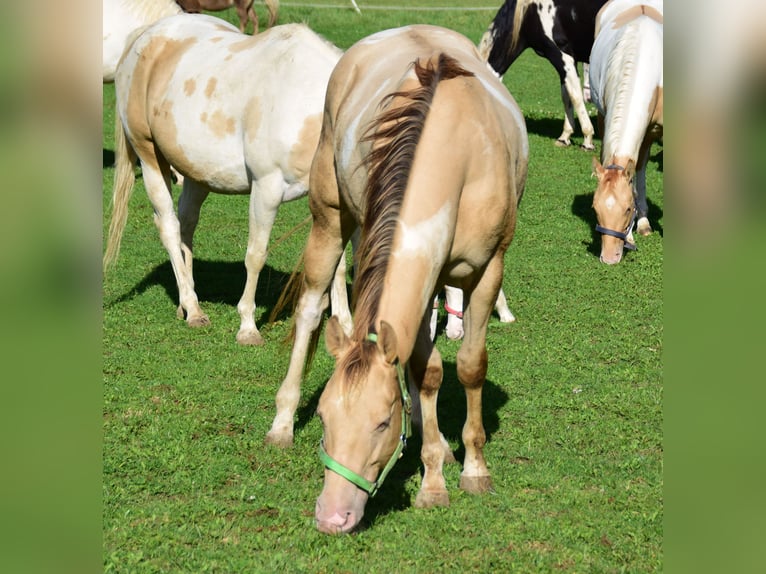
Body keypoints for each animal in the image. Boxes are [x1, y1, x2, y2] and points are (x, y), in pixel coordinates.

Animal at [104, 15, 352, 346]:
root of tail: (146, 36)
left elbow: (336, 265)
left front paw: (346, 328)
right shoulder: (266, 189)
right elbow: (256, 255)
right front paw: (247, 327)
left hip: (197, 173)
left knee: (186, 224)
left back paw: (186, 304)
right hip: (149, 157)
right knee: (169, 226)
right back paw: (194, 309)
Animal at [268, 22, 532, 536]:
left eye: (382, 423)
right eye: (325, 419)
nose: (332, 516)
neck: (457, 154)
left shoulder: (489, 270)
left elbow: (468, 365)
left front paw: (473, 468)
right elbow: (428, 372)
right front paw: (433, 482)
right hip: (331, 216)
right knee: (311, 309)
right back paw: (283, 420)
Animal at [476, 0, 608, 151]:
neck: (529, 12)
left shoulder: (563, 56)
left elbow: (575, 97)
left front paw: (587, 140)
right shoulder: (564, 63)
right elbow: (566, 96)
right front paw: (564, 137)